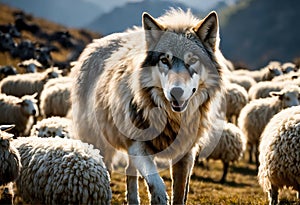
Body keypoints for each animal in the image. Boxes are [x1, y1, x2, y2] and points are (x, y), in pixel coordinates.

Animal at [71, 8, 225, 205]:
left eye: (192, 60)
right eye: (164, 60)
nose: (176, 92)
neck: (171, 120)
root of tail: (95, 44)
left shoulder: (185, 154)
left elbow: (180, 193)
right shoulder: (138, 146)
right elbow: (157, 185)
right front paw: (159, 198)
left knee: (129, 171)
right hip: (100, 142)